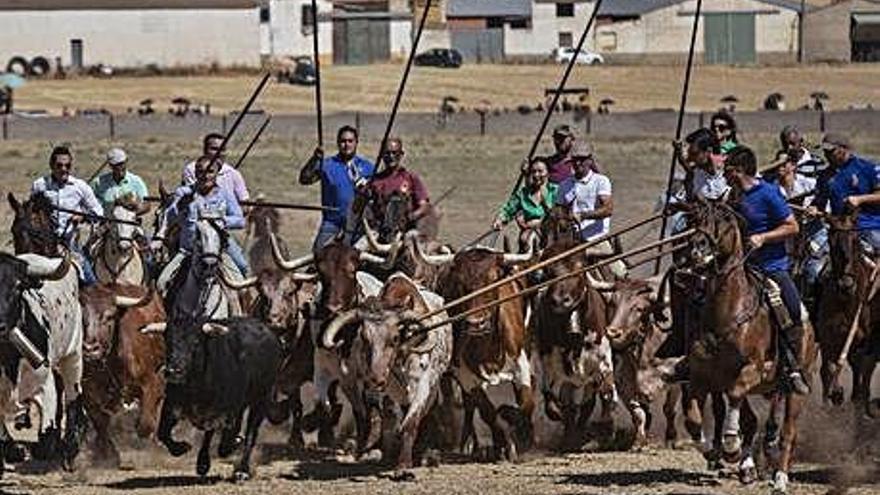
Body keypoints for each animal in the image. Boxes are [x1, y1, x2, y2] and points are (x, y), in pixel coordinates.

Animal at [0, 254, 87, 470]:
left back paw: (71, 446)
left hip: (73, 356)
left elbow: (45, 440)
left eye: (18, 286)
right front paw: (13, 449)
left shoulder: (44, 385)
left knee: (73, 395)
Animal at [79, 284, 165, 466]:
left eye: (110, 316)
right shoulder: (89, 393)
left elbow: (145, 424)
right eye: (82, 317)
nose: (90, 349)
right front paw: (107, 454)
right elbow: (101, 424)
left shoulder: (152, 382)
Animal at [528, 240, 620, 454]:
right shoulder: (549, 367)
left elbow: (606, 393)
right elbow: (554, 406)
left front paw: (606, 432)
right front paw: (569, 434)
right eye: (549, 271)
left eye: (580, 268)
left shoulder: (602, 360)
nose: (561, 301)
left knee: (588, 402)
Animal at [680, 202, 820, 495]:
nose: (697, 248)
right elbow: (692, 419)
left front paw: (731, 447)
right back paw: (748, 468)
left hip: (797, 389)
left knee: (788, 432)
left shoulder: (752, 371)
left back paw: (780, 478)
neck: (727, 313)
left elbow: (735, 399)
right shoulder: (702, 378)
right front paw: (712, 451)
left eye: (723, 219)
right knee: (753, 421)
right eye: (695, 218)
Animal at [816, 213, 876, 414]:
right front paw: (832, 398)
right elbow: (827, 369)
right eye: (831, 241)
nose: (846, 285)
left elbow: (860, 366)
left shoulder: (862, 342)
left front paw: (855, 398)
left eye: (855, 239)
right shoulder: (827, 339)